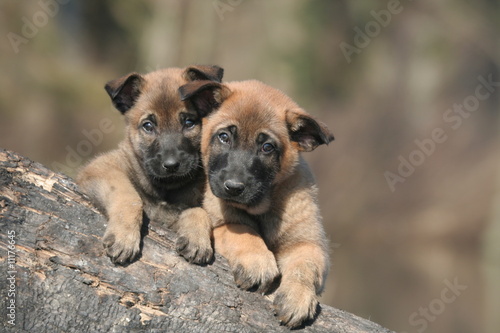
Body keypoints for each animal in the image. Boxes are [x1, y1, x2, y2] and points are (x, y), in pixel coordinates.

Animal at [76, 66, 223, 266]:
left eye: (189, 122)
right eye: (148, 126)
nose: (171, 165)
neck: (164, 190)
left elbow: (198, 210)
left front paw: (197, 238)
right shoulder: (101, 168)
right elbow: (129, 196)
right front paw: (124, 237)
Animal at [178, 79, 334, 326]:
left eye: (267, 147)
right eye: (224, 137)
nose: (233, 187)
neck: (260, 207)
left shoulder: (308, 243)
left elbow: (305, 266)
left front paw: (298, 296)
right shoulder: (223, 222)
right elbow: (243, 231)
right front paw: (258, 262)